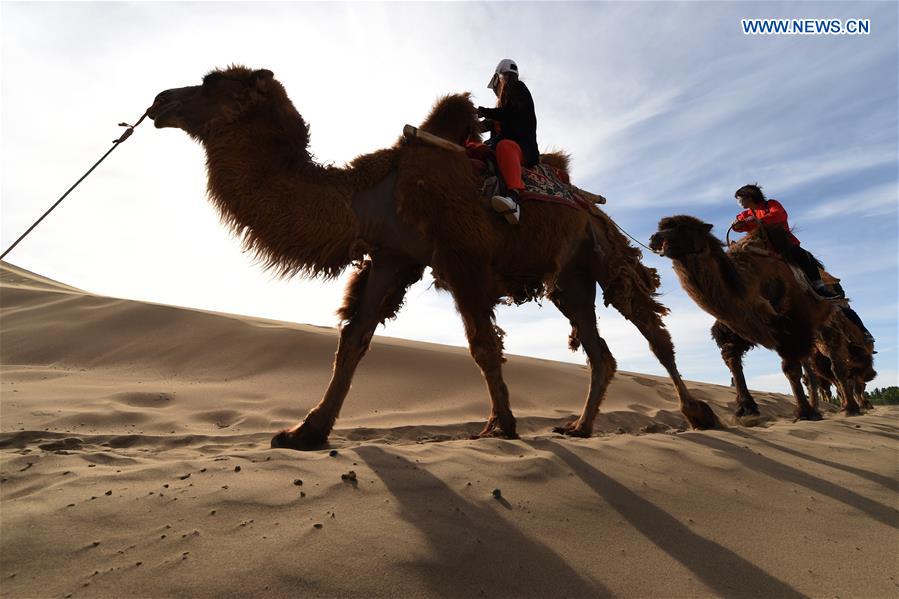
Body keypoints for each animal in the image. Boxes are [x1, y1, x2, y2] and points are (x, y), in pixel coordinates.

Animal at [149, 65, 724, 450]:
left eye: (213, 82)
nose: (159, 99)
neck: (370, 193)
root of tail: (588, 203)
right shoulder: (392, 257)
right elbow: (352, 340)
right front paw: (304, 431)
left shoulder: (461, 252)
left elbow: (482, 345)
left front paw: (499, 426)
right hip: (569, 277)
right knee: (599, 348)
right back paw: (580, 427)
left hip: (603, 249)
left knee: (653, 331)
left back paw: (699, 414)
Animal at [652, 217, 860, 422]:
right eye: (661, 226)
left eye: (683, 227)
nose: (655, 239)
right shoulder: (737, 327)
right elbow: (733, 361)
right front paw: (747, 409)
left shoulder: (793, 323)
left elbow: (790, 368)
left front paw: (803, 412)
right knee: (811, 372)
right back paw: (819, 408)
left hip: (827, 322)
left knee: (836, 365)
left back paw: (850, 408)